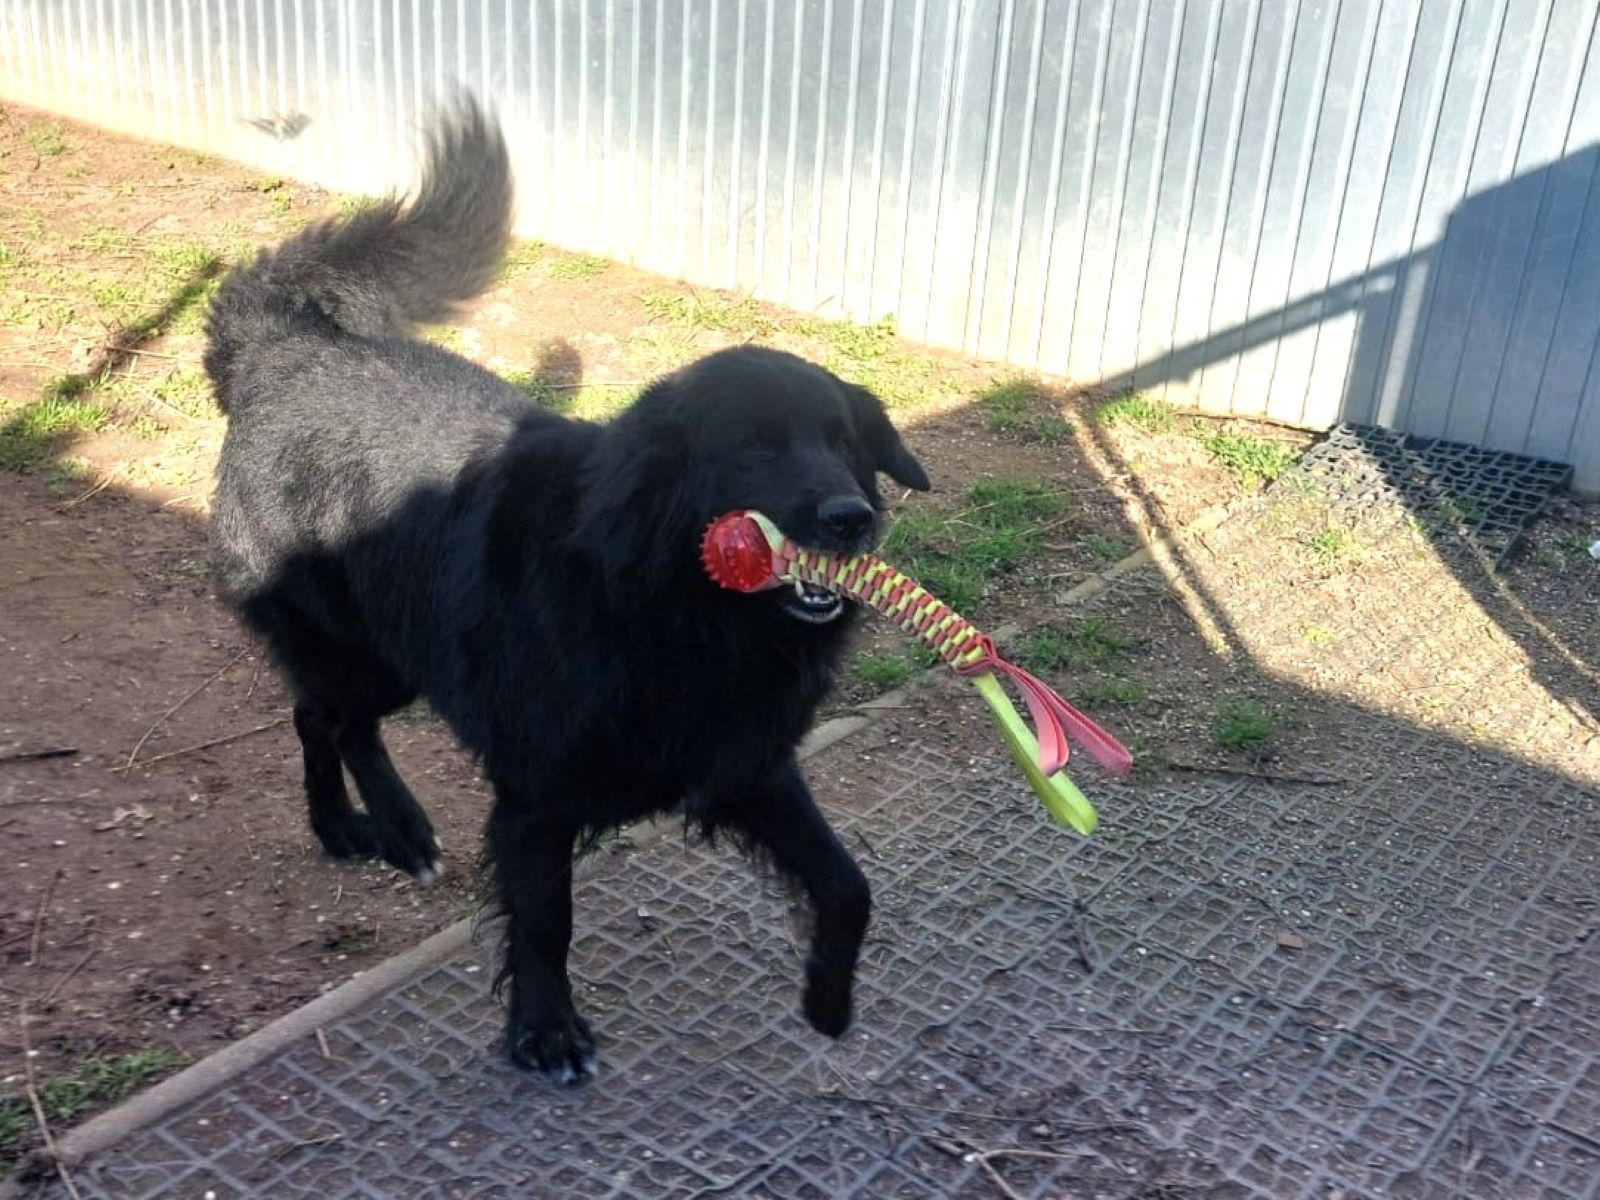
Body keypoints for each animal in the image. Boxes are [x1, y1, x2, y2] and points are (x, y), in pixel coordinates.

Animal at [203, 97, 930, 1081]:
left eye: (847, 441)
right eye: (754, 449)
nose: (849, 519)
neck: (675, 609)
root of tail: (283, 351)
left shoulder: (744, 764)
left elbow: (849, 885)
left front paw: (827, 997)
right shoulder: (537, 796)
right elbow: (546, 922)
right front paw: (545, 1032)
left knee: (326, 719)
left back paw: (365, 829)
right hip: (365, 648)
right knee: (327, 719)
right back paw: (380, 829)